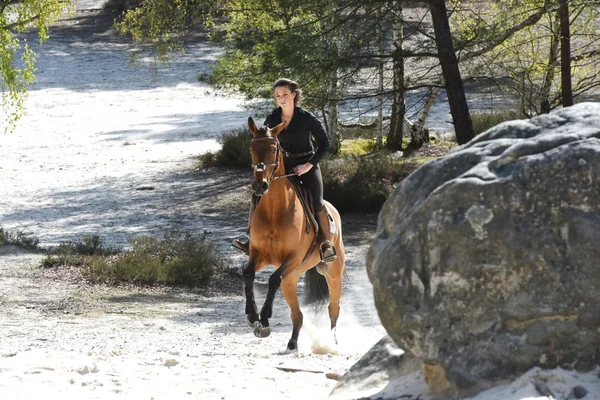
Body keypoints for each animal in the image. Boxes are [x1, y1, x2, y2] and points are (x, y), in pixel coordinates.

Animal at [244, 117, 346, 352]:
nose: (260, 185)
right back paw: (292, 343)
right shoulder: (259, 254)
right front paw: (253, 316)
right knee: (297, 315)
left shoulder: (293, 258)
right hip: (291, 278)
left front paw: (264, 320)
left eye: (274, 149)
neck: (274, 210)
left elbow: (273, 278)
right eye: (252, 148)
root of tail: (334, 209)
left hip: (333, 273)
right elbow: (248, 274)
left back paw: (332, 342)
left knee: (333, 308)